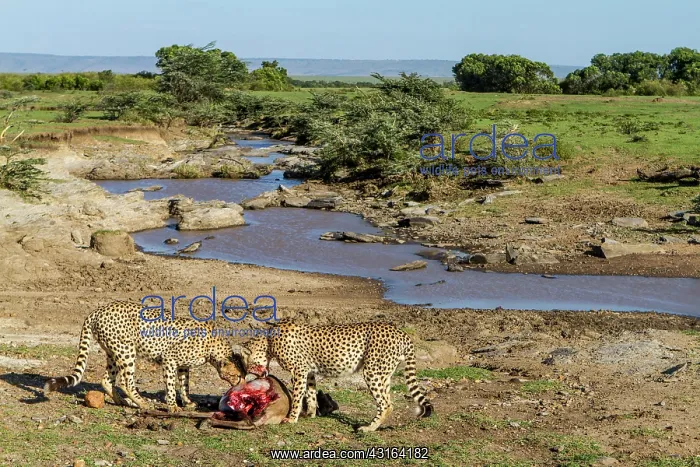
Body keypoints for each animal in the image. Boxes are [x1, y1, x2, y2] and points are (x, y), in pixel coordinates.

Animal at [44, 301, 246, 413]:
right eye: (237, 375)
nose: (240, 385)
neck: (212, 347)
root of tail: (98, 310)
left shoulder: (182, 365)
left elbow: (184, 385)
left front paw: (187, 402)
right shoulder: (169, 359)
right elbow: (171, 385)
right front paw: (172, 405)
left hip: (113, 352)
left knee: (107, 380)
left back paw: (122, 401)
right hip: (126, 351)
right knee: (126, 382)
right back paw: (141, 403)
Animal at [242, 320, 433, 432]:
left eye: (246, 364)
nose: (247, 375)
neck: (268, 343)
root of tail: (401, 332)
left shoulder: (299, 370)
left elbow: (297, 396)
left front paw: (292, 419)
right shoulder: (309, 372)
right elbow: (311, 393)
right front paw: (310, 413)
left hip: (372, 372)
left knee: (386, 404)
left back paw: (368, 428)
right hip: (384, 374)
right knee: (388, 401)